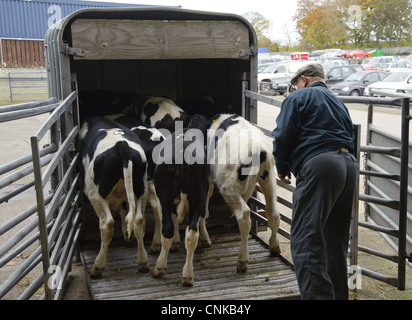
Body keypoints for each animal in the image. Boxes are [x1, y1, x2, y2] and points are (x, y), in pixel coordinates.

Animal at [79, 116, 148, 276]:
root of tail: (122, 147)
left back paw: (98, 267)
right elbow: (124, 213)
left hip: (96, 194)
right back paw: (143, 262)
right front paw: (126, 235)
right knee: (138, 220)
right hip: (141, 190)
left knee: (107, 225)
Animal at [208, 114, 282, 274]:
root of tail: (256, 149)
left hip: (229, 188)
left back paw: (242, 261)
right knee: (273, 213)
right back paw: (273, 247)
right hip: (269, 180)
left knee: (244, 215)